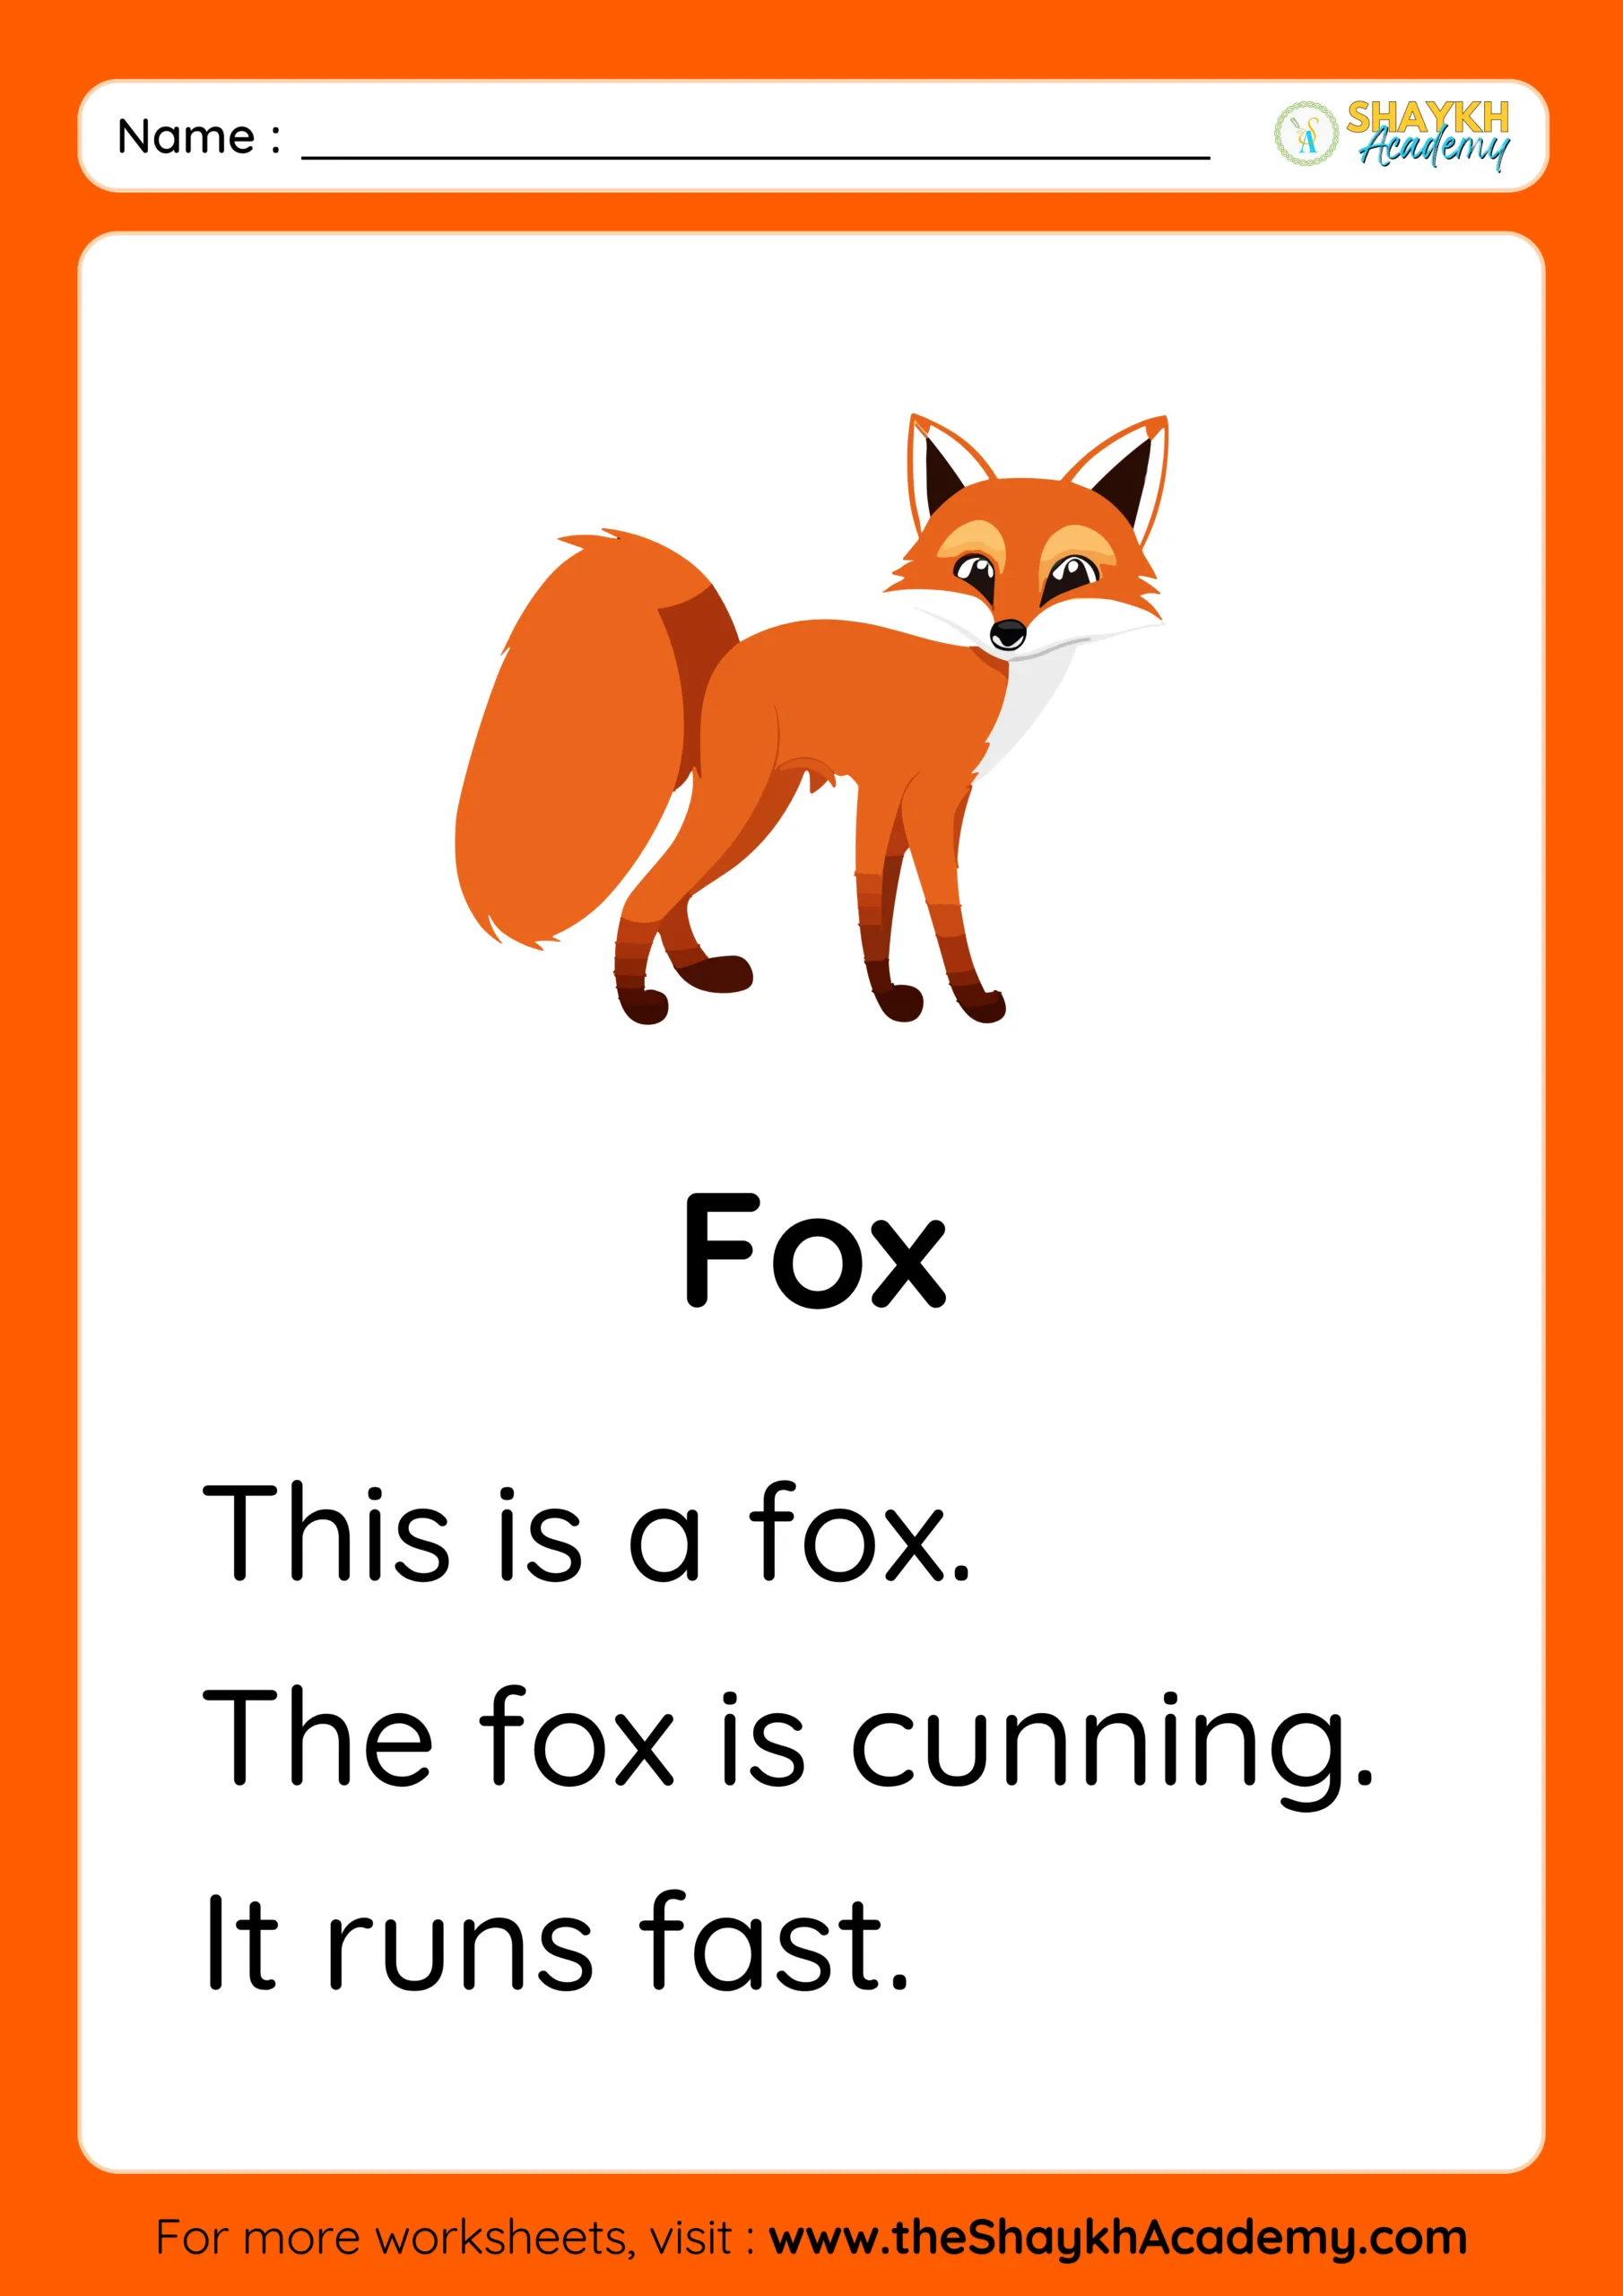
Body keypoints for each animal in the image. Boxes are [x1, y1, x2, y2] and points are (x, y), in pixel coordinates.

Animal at [455, 413, 1167, 1024]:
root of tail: (728, 652)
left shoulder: (939, 799)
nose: (1008, 633)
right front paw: (919, 1001)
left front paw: (926, 996)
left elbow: (910, 900)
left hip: (758, 804)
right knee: (647, 891)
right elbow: (899, 899)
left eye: (1070, 573)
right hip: (743, 800)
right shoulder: (896, 792)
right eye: (976, 571)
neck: (991, 684)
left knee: (670, 891)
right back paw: (640, 1004)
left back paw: (698, 972)